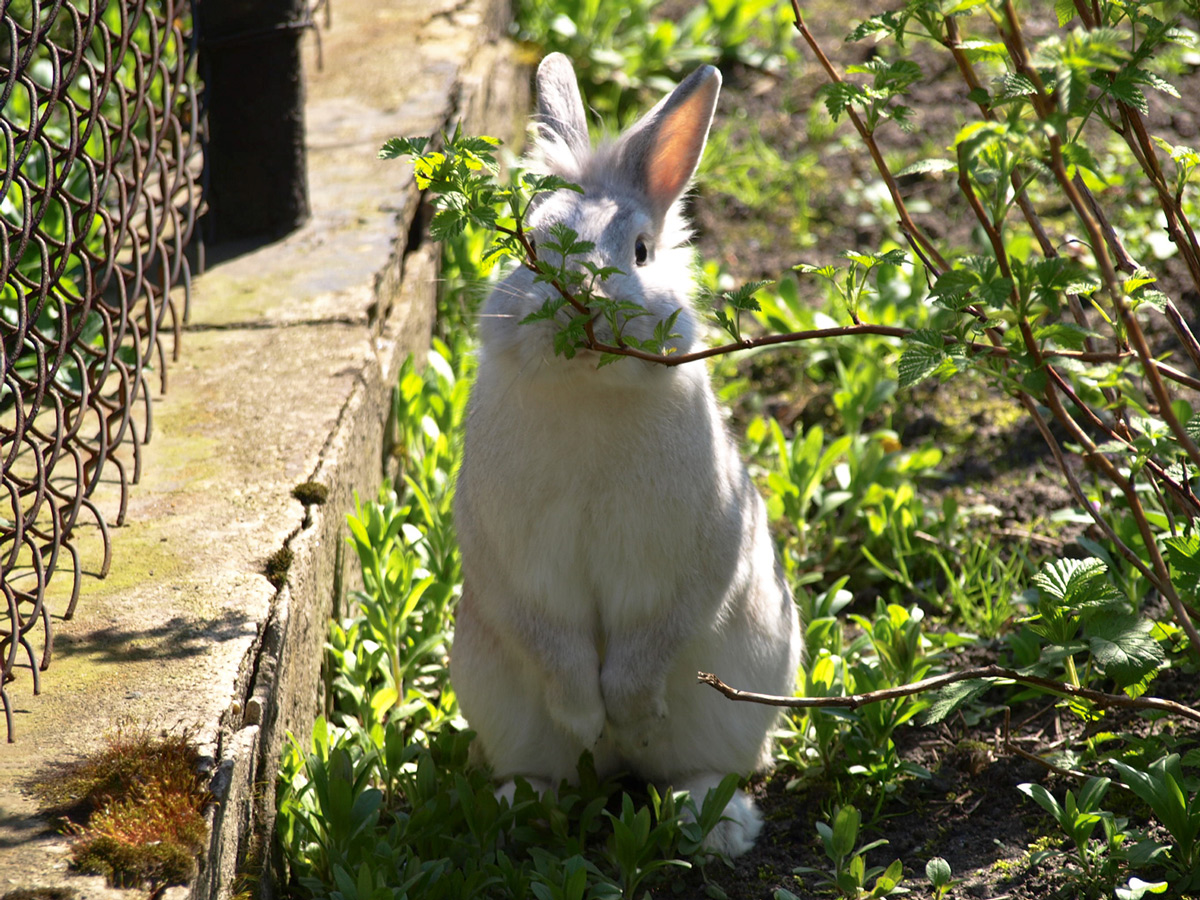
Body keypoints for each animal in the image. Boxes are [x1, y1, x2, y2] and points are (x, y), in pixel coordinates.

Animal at [450, 52, 803, 858]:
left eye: (640, 252)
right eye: (529, 248)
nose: (579, 300)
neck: (589, 392)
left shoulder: (690, 560)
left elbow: (650, 644)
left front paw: (630, 711)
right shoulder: (515, 568)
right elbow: (556, 646)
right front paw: (588, 716)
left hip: (737, 699)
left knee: (694, 769)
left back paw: (711, 824)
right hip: (500, 703)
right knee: (548, 767)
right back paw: (528, 807)